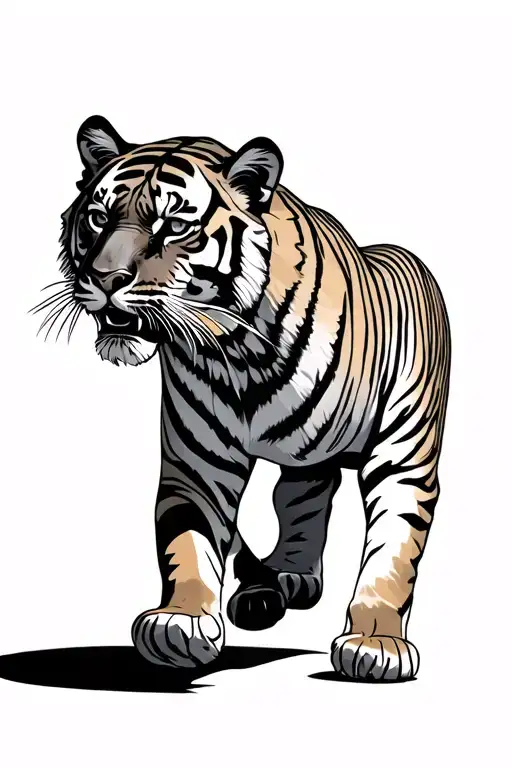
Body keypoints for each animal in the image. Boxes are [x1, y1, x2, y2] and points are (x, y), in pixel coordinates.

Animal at [39, 115, 450, 681]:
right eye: (98, 219)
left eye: (174, 226)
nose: (103, 279)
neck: (244, 354)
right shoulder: (199, 461)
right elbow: (188, 542)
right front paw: (181, 620)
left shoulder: (403, 459)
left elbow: (392, 553)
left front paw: (376, 643)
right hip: (303, 466)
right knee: (302, 499)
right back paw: (288, 576)